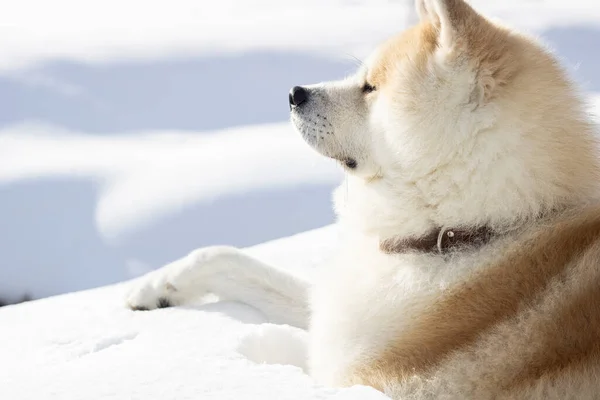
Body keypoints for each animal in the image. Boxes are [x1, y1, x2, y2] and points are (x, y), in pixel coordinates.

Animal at [123, 1, 600, 398]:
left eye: (370, 87)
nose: (294, 93)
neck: (463, 233)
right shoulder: (341, 318)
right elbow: (224, 257)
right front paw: (157, 286)